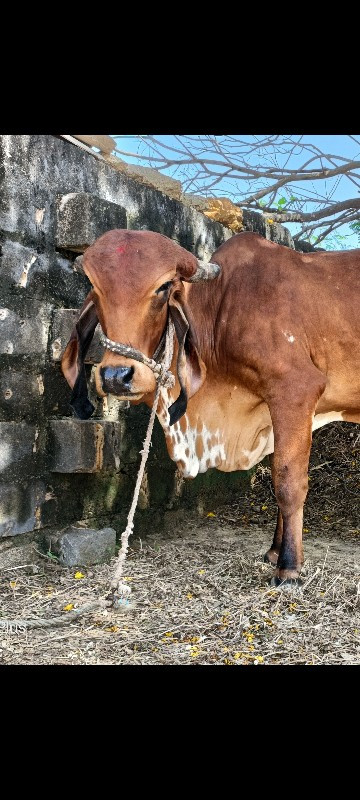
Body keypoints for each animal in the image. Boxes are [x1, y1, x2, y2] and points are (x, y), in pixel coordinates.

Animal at [61, 228, 360, 584]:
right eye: (94, 286)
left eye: (164, 287)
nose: (116, 376)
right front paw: (275, 550)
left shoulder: (296, 391)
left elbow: (288, 483)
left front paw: (289, 566)